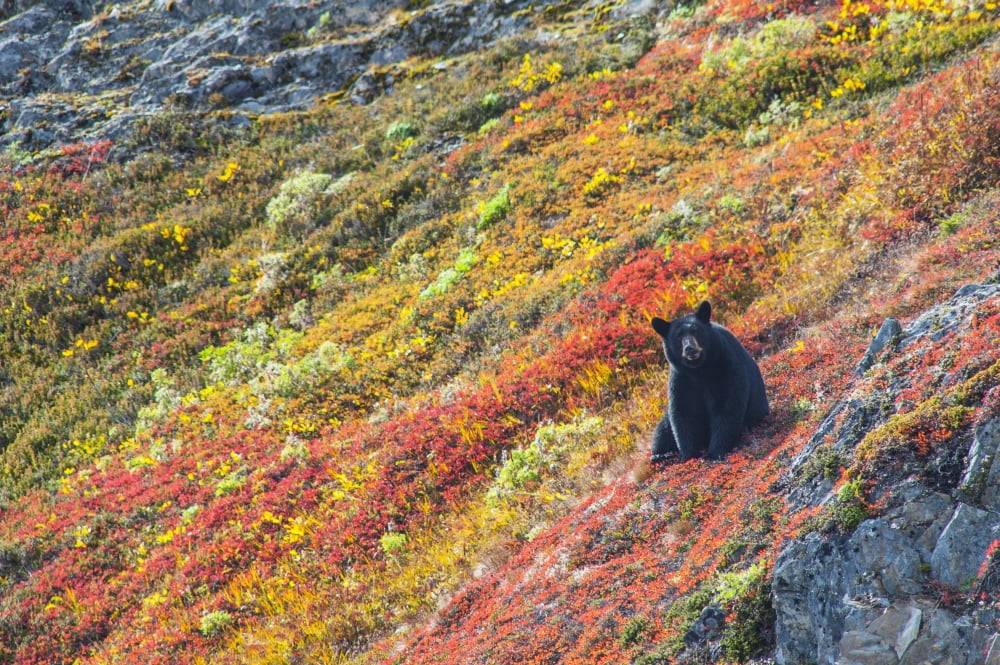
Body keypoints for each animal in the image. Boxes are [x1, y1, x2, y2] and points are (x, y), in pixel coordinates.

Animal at [650, 301, 768, 462]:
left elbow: (727, 406)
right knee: (662, 430)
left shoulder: (727, 367)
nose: (689, 348)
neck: (700, 371)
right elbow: (682, 414)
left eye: (695, 330)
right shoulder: (681, 380)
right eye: (678, 336)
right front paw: (689, 455)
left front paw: (715, 452)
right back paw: (660, 454)